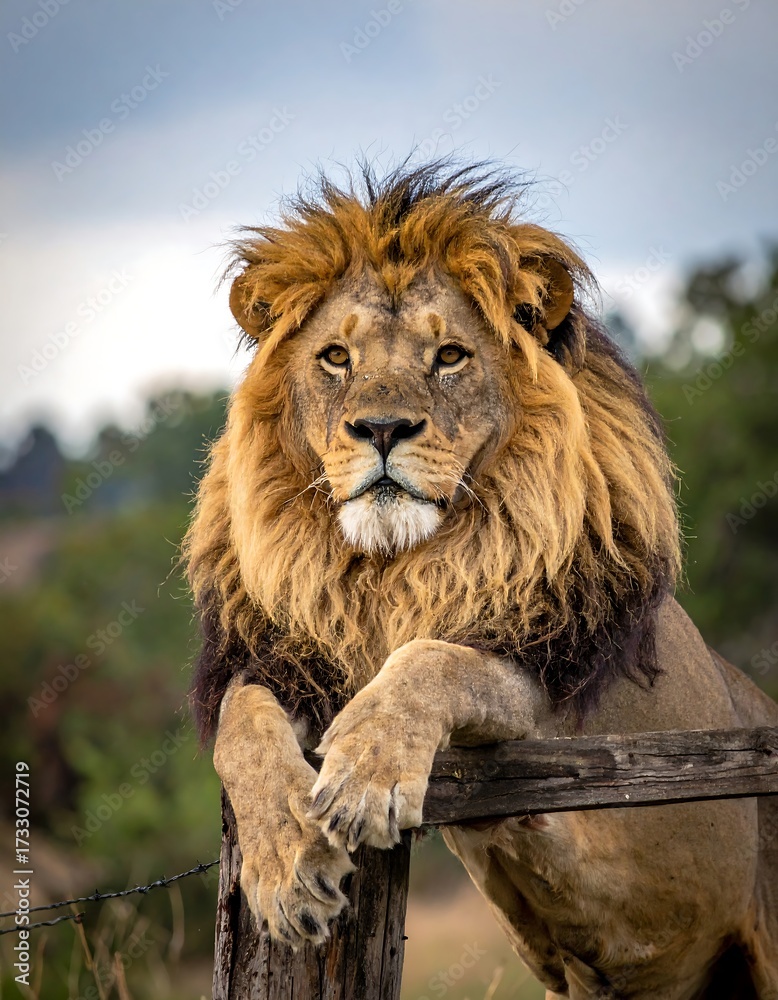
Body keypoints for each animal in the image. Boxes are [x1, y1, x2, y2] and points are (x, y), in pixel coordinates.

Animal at [185, 161, 778, 998]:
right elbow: (241, 725)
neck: (390, 574)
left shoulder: (548, 697)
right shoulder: (290, 659)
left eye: (449, 356)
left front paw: (363, 771)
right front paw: (288, 862)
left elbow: (431, 660)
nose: (382, 429)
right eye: (336, 357)